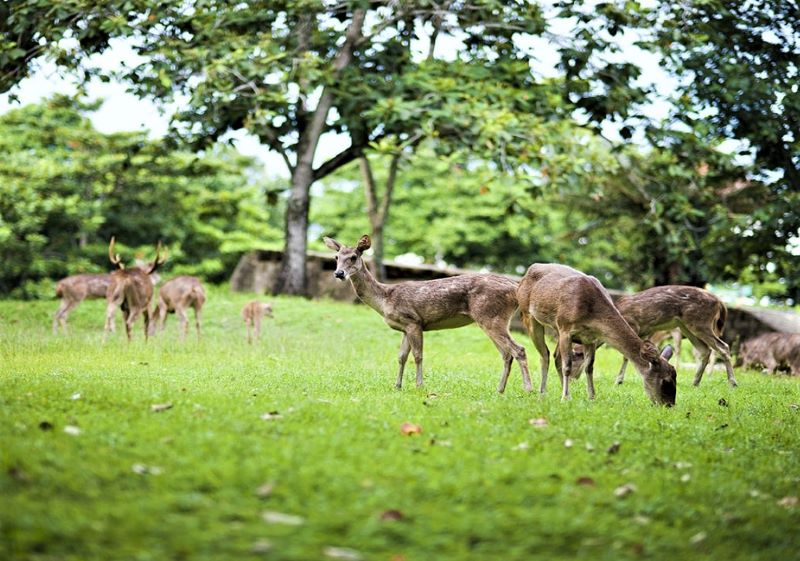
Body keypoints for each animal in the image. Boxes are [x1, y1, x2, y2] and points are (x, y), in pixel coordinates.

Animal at [318, 234, 532, 392]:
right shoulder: (405, 328)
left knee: (518, 349)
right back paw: (500, 390)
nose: (338, 274)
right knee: (506, 353)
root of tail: (515, 287)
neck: (385, 299)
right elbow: (401, 356)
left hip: (490, 315)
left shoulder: (414, 321)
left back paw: (528, 389)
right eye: (336, 258)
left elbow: (418, 355)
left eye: (353, 257)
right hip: (493, 318)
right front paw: (397, 386)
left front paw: (419, 385)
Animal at [516, 264, 680, 404]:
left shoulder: (591, 338)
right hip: (528, 315)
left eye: (675, 378)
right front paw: (565, 398)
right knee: (545, 354)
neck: (591, 313)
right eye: (665, 381)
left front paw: (591, 397)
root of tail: (526, 274)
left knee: (555, 355)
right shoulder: (565, 327)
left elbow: (589, 367)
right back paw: (542, 393)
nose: (669, 405)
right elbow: (568, 365)